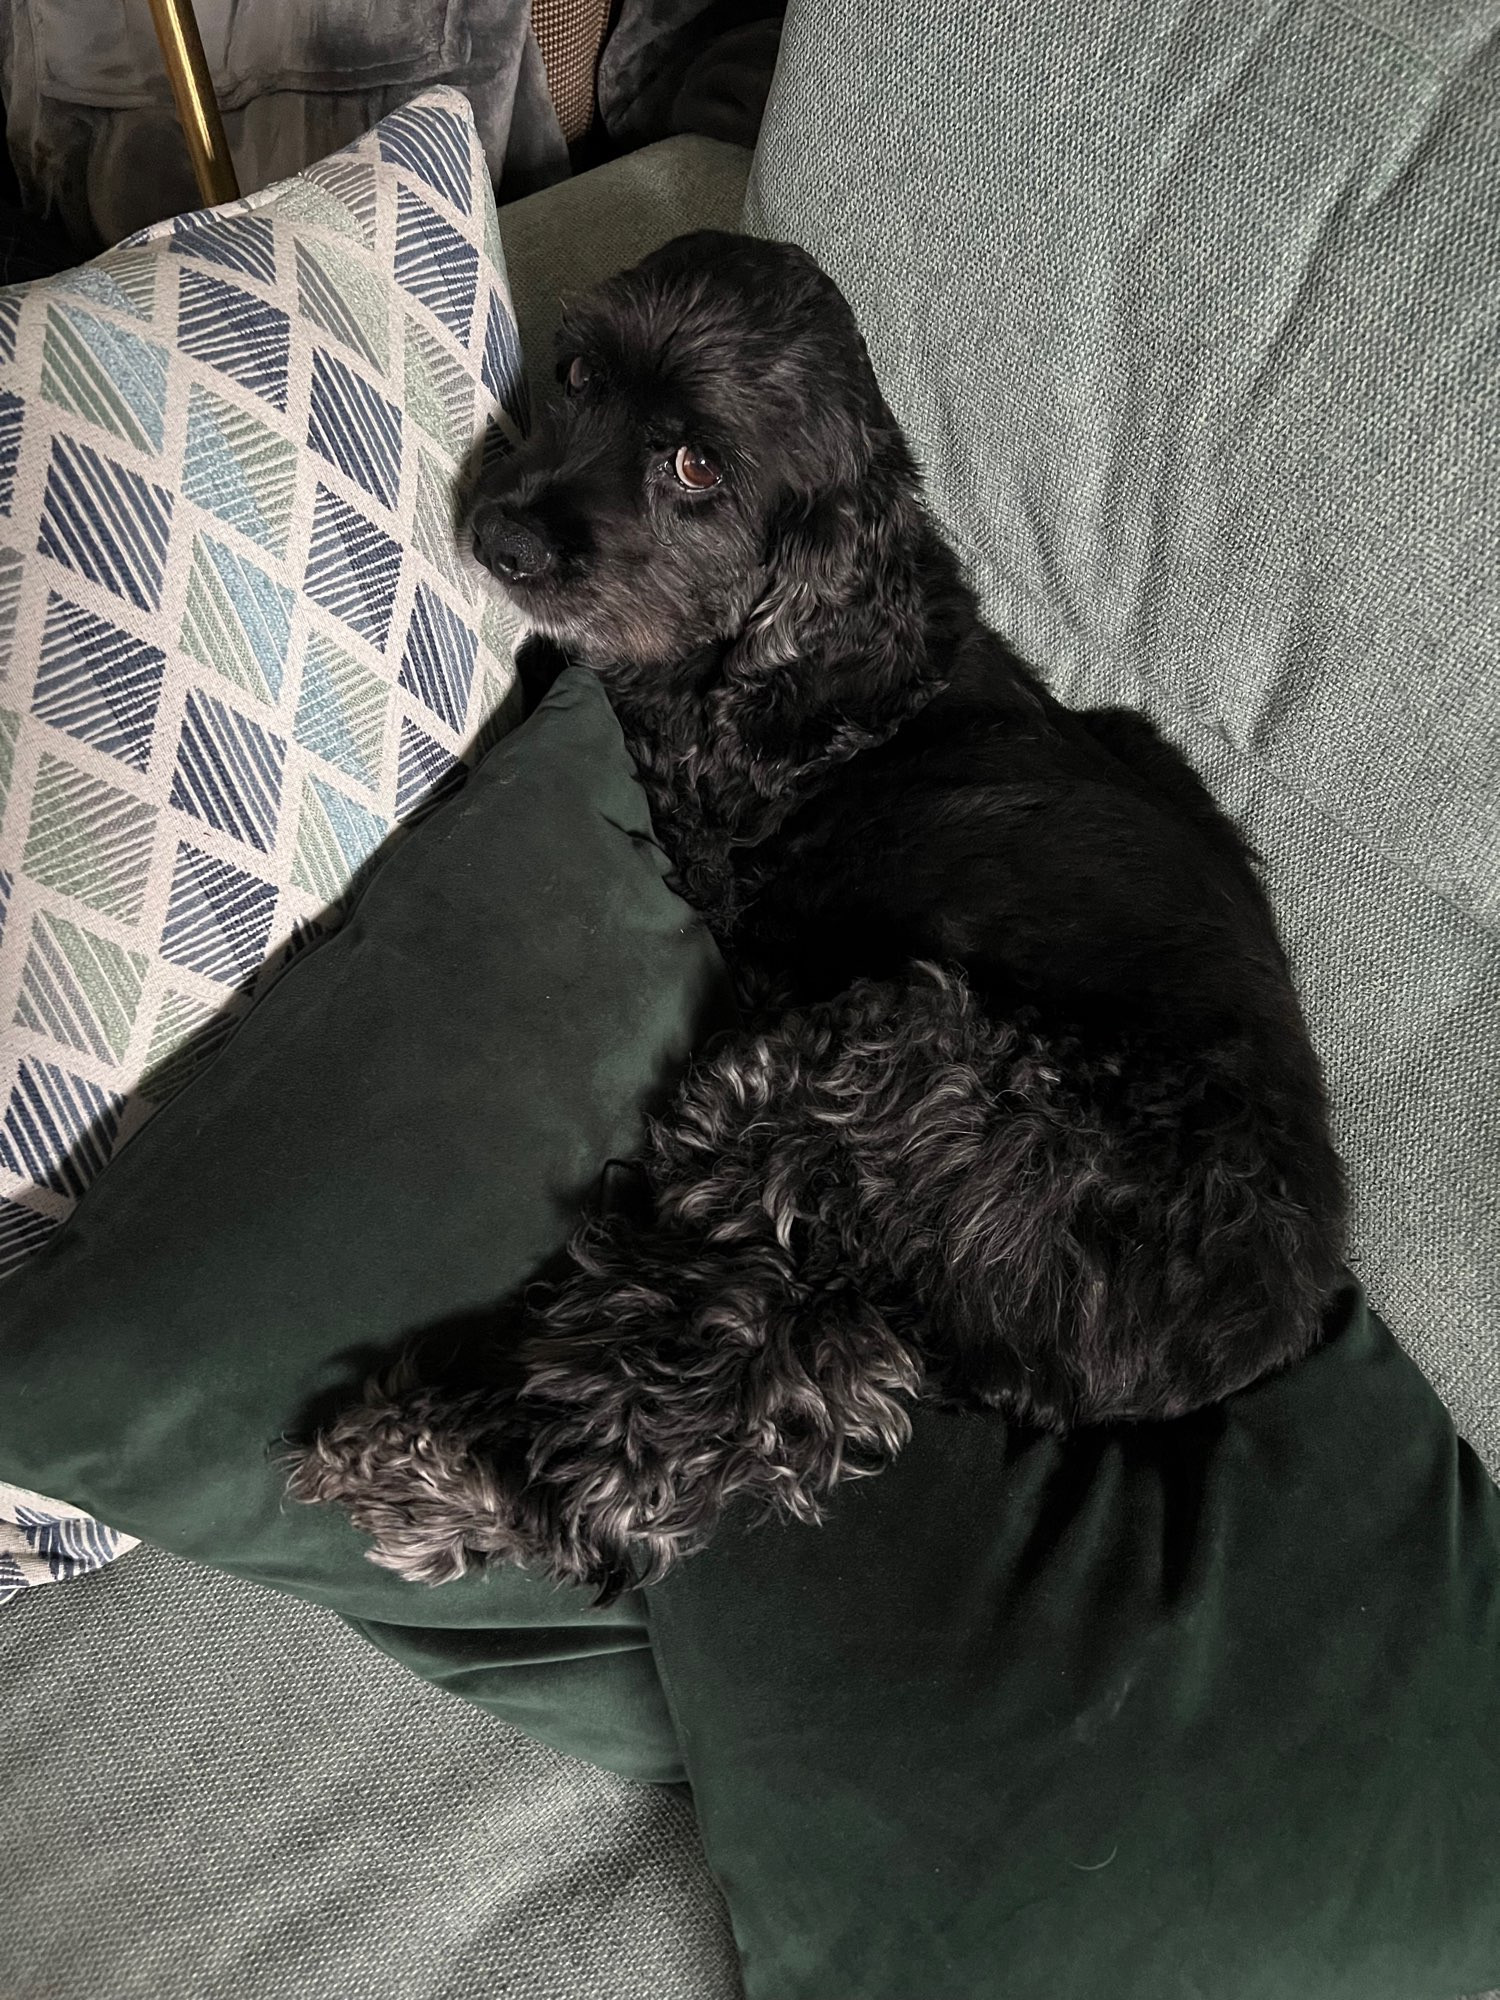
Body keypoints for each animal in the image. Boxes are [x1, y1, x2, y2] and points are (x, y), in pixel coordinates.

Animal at [284, 230, 1352, 1592]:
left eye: (697, 465)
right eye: (574, 375)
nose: (505, 538)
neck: (832, 638)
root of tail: (1250, 1332)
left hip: (870, 1069)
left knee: (685, 1385)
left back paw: (439, 1460)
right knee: (787, 1379)